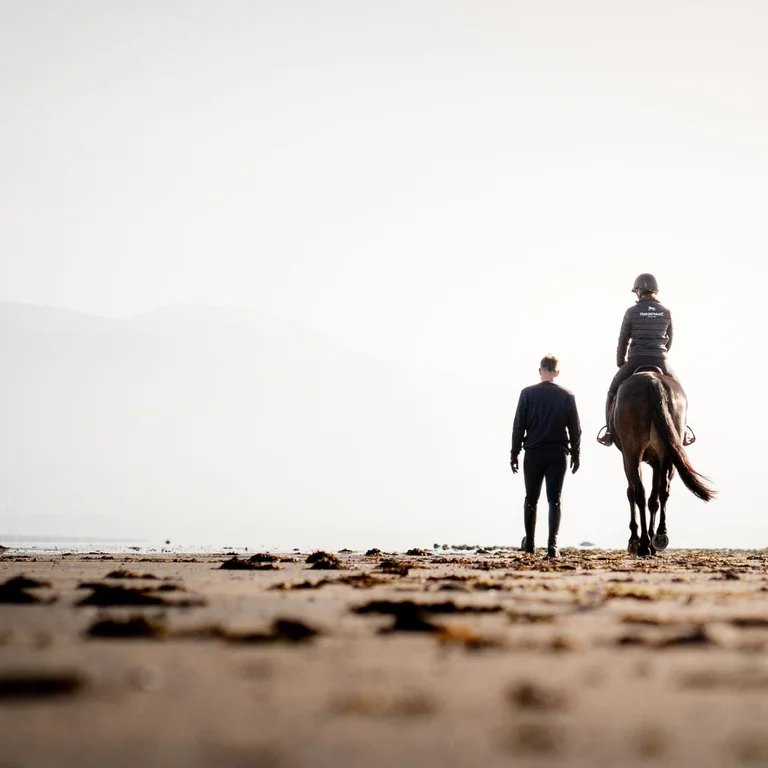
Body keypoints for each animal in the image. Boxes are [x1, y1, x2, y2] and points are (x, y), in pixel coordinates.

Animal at [612, 368, 712, 556]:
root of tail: (653, 381)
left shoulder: (627, 457)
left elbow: (632, 493)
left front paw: (634, 539)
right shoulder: (657, 461)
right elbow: (654, 499)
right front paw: (651, 538)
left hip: (633, 452)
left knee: (639, 492)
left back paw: (643, 543)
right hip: (668, 452)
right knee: (662, 490)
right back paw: (658, 537)